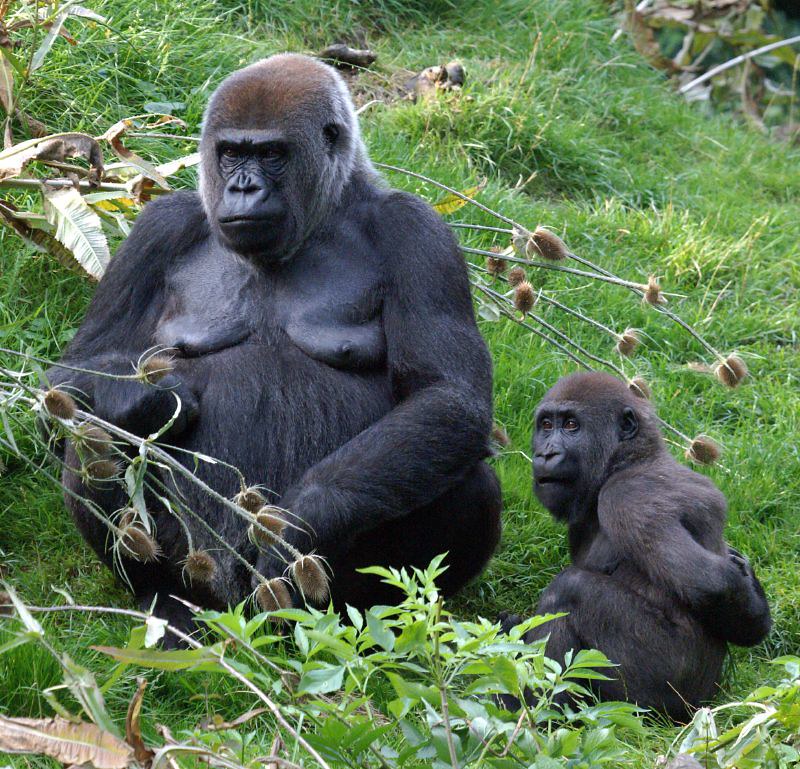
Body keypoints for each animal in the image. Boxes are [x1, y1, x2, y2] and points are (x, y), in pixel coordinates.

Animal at [46, 53, 502, 634]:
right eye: (231, 153)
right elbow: (70, 377)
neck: (327, 213)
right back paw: (166, 599)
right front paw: (145, 398)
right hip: (204, 577)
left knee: (468, 475)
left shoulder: (420, 234)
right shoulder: (157, 229)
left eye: (271, 155)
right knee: (91, 434)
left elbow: (448, 396)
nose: (243, 189)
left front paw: (300, 525)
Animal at [501, 372, 770, 720]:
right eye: (546, 425)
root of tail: (702, 701)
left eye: (572, 425)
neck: (629, 459)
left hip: (660, 696)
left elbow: (711, 583)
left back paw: (536, 712)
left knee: (569, 590)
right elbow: (740, 605)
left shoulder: (627, 495)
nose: (546, 454)